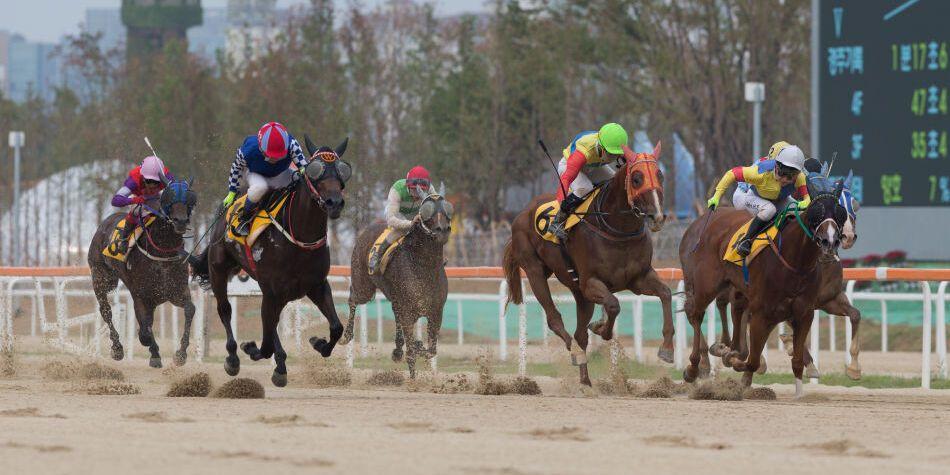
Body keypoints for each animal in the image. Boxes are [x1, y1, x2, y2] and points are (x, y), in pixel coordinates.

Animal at [90, 178, 200, 368]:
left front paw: (181, 354)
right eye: (168, 197)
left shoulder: (175, 292)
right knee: (106, 310)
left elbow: (189, 309)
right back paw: (117, 348)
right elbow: (144, 330)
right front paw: (151, 349)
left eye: (189, 198)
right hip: (101, 277)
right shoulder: (141, 296)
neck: (163, 253)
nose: (180, 221)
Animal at [189, 136, 350, 388]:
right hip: (219, 270)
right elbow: (264, 345)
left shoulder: (316, 285)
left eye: (342, 170)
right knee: (225, 309)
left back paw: (280, 363)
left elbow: (336, 327)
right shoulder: (273, 289)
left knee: (272, 323)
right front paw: (250, 348)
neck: (300, 237)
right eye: (315, 171)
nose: (334, 202)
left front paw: (318, 342)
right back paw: (234, 357)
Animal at [342, 193, 454, 380]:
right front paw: (413, 378)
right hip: (364, 287)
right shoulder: (408, 311)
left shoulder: (436, 312)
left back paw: (397, 350)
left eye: (447, 209)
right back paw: (346, 335)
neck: (424, 266)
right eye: (427, 211)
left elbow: (431, 350)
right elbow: (412, 352)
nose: (443, 230)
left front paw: (414, 346)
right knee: (352, 298)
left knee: (395, 314)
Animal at [506, 142, 668, 386]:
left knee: (580, 333)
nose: (656, 216)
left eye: (660, 175)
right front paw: (601, 328)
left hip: (579, 291)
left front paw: (668, 349)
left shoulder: (638, 279)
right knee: (555, 320)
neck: (616, 227)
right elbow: (613, 305)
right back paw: (575, 352)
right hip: (535, 271)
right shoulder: (591, 282)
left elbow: (665, 293)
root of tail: (523, 212)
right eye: (637, 178)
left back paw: (585, 380)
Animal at [676, 180, 848, 396]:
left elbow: (795, 360)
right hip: (706, 284)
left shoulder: (803, 313)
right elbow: (753, 360)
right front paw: (734, 362)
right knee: (696, 313)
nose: (830, 241)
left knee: (730, 310)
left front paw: (799, 392)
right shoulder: (762, 312)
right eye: (816, 211)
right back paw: (694, 368)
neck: (795, 261)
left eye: (841, 213)